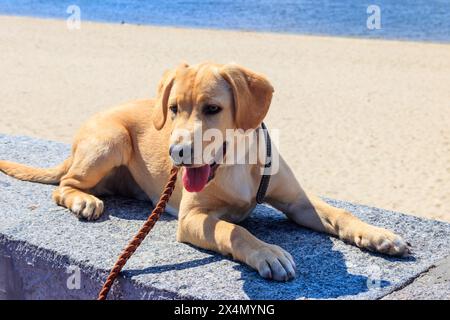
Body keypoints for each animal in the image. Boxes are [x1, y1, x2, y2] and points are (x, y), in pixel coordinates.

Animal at [0, 62, 410, 280]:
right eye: (174, 108)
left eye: (212, 109)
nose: (176, 152)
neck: (236, 162)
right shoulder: (192, 217)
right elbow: (235, 230)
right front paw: (267, 253)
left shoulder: (298, 201)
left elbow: (340, 212)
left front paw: (379, 236)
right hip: (110, 139)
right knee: (64, 185)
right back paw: (83, 201)